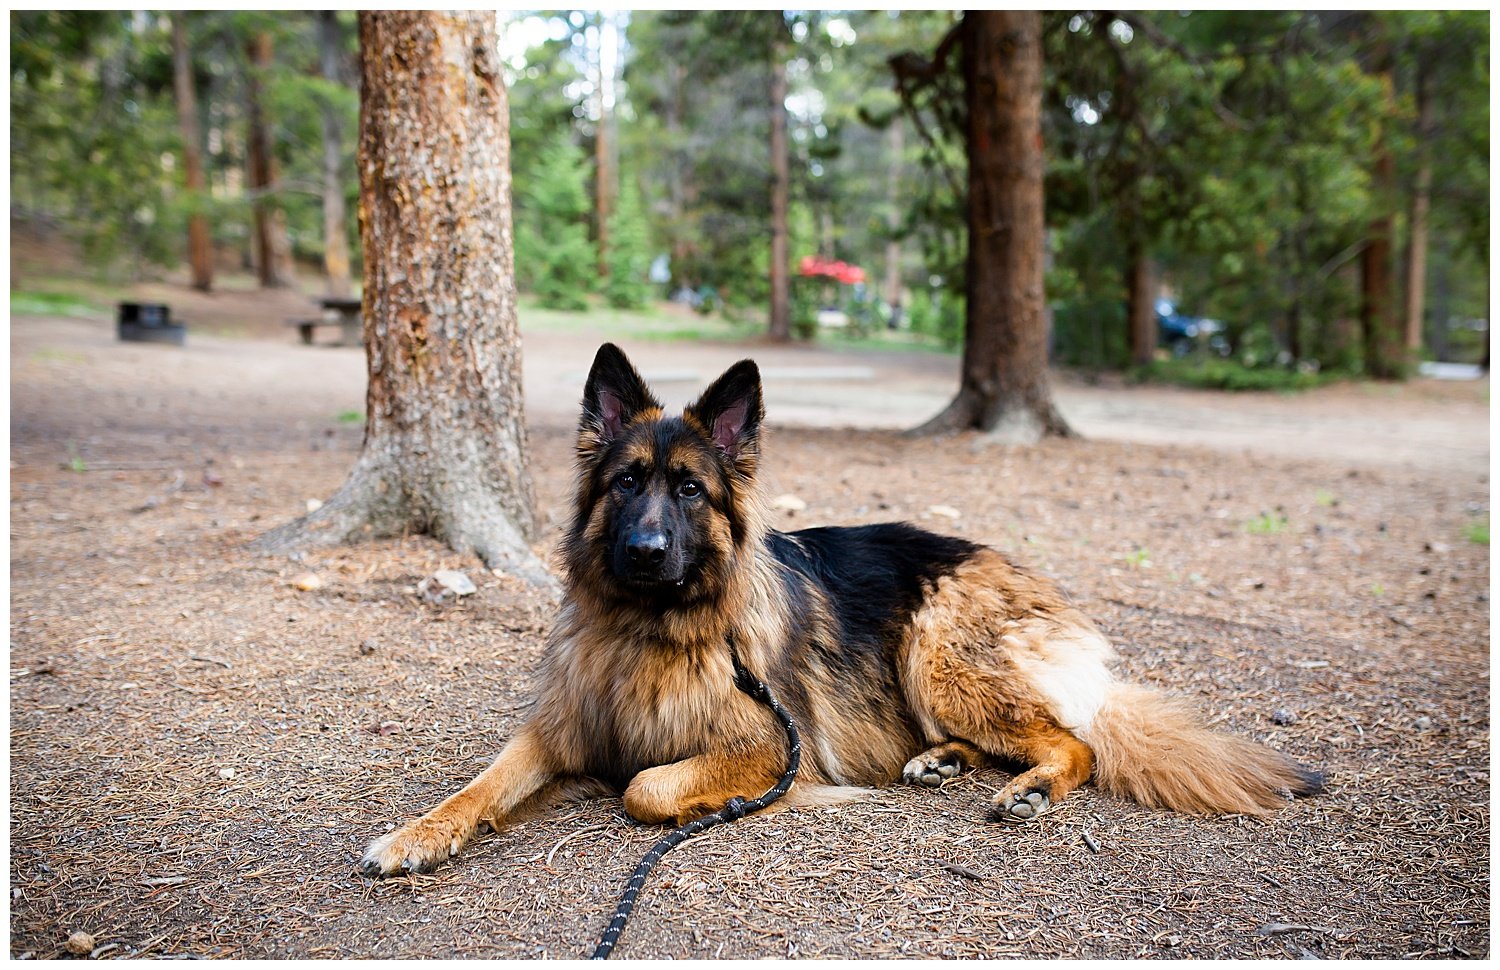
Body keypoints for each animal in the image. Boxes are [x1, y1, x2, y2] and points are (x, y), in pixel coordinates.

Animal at [357, 344, 1320, 875]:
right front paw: (416, 835)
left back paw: (1028, 788)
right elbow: (480, 784)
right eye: (627, 483)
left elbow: (644, 784)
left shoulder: (764, 748)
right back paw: (943, 762)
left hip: (935, 652)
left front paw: (694, 806)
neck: (651, 630)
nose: (647, 552)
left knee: (1073, 741)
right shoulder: (556, 732)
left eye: (691, 490)